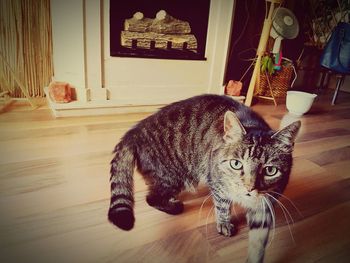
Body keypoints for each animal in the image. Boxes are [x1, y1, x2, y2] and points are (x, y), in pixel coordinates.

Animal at [108, 94, 300, 262]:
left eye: (270, 170)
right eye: (236, 164)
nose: (249, 188)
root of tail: (134, 131)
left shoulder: (265, 205)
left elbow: (258, 241)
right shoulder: (217, 184)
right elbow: (222, 207)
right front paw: (224, 223)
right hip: (173, 176)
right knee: (152, 197)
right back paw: (173, 205)